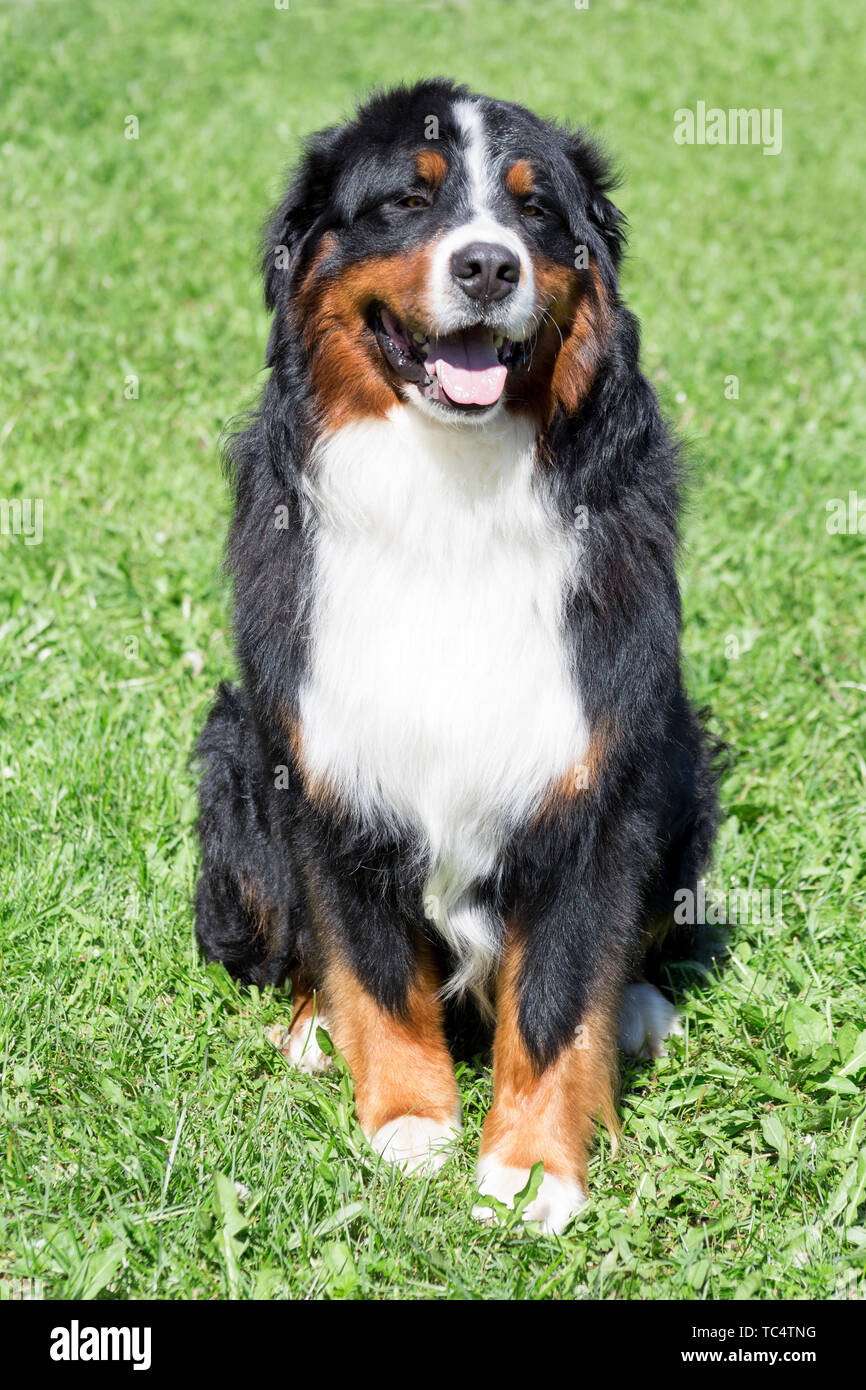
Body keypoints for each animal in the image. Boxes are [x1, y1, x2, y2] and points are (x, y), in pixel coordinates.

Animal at [194, 78, 717, 1228]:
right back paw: (313, 1026)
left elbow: (560, 992)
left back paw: (640, 1009)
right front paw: (407, 1124)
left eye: (533, 211)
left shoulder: (591, 773)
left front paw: (531, 1172)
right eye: (406, 201)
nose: (487, 265)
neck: (450, 495)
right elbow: (371, 965)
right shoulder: (326, 763)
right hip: (234, 756)